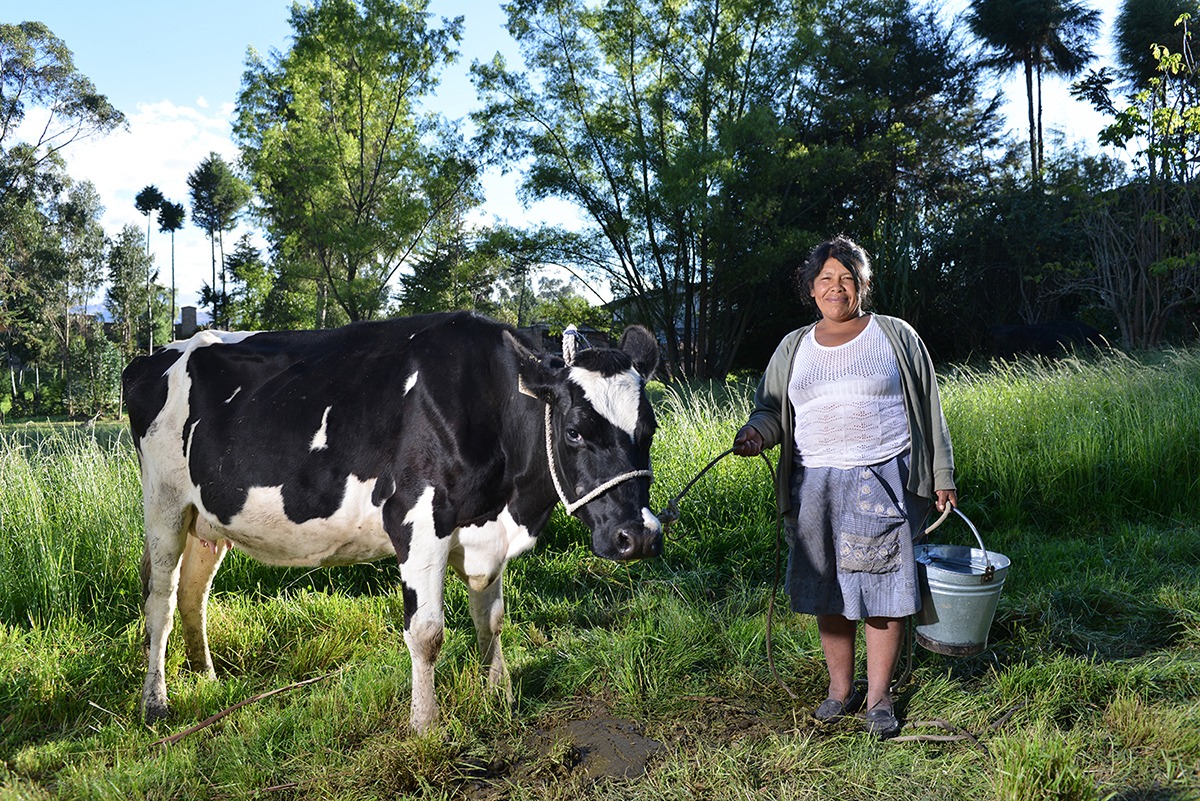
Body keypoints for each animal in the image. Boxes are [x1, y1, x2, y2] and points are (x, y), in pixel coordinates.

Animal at [120, 311, 662, 733]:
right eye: (574, 431)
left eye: (650, 427)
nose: (637, 536)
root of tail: (153, 356)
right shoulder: (417, 520)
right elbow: (426, 632)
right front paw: (426, 726)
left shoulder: (484, 531)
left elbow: (490, 618)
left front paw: (500, 695)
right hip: (165, 505)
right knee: (160, 600)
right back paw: (155, 703)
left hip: (207, 521)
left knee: (193, 594)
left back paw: (206, 677)